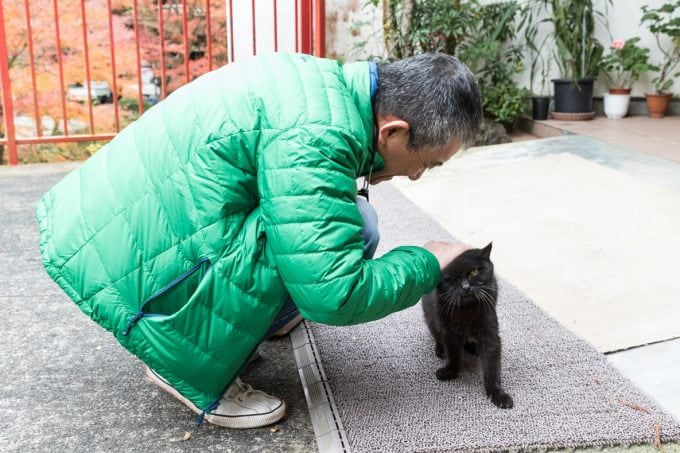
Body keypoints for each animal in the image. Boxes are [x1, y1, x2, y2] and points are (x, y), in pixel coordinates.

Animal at [422, 242, 512, 408]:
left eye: (474, 272)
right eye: (451, 278)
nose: (465, 287)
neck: (467, 311)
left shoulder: (490, 334)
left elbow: (492, 366)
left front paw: (497, 394)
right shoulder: (449, 333)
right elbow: (453, 354)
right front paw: (450, 372)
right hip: (430, 318)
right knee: (436, 335)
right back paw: (440, 350)